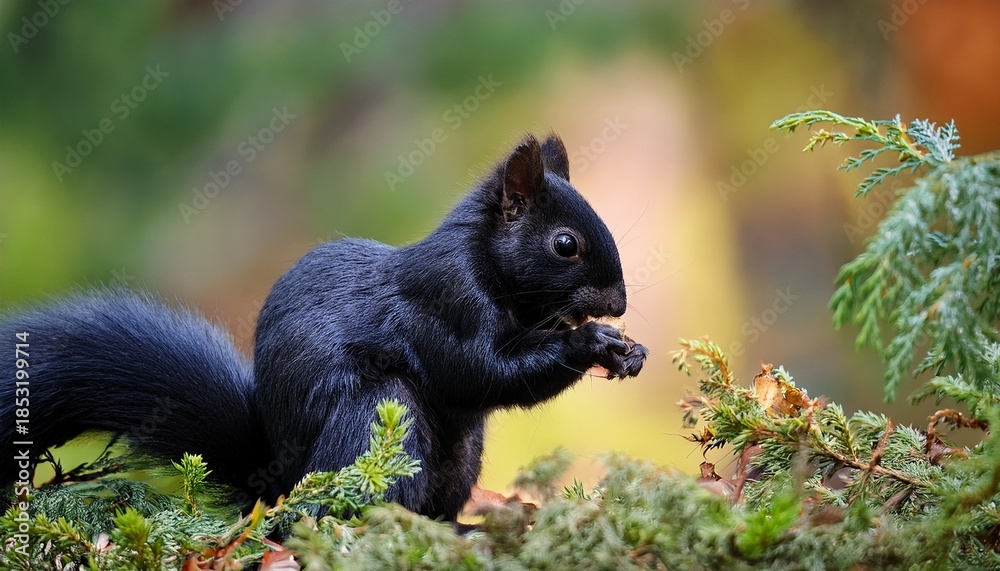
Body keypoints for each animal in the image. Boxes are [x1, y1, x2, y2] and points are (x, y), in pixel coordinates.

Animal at [1, 133, 648, 521]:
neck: (488, 264)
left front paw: (627, 351)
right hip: (376, 419)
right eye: (564, 244)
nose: (617, 305)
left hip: (463, 454)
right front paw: (591, 341)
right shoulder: (445, 301)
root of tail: (277, 483)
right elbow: (480, 371)